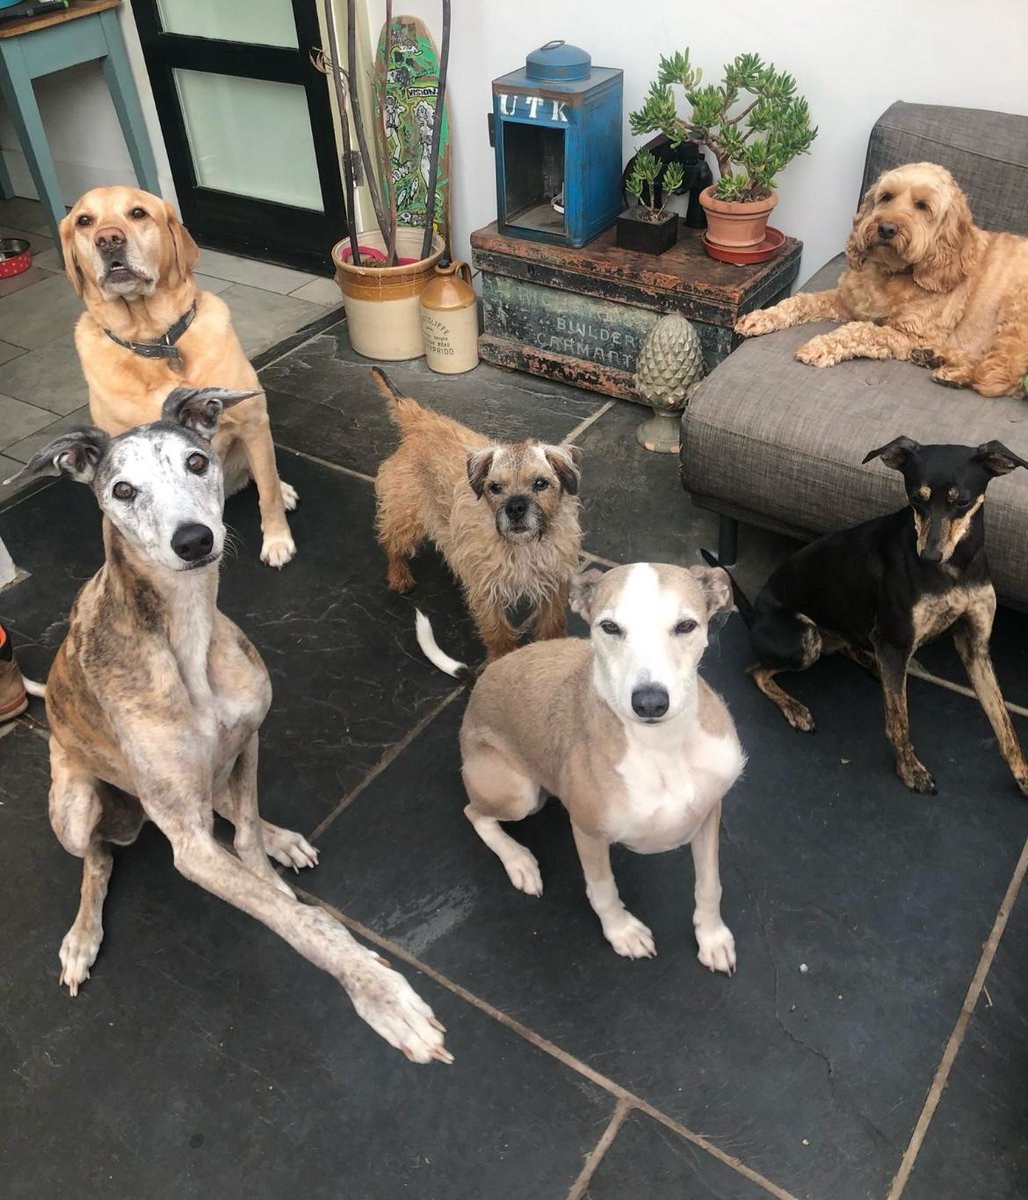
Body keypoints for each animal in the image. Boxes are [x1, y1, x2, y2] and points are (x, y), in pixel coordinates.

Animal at [710, 436, 1026, 792]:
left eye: (962, 502)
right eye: (916, 499)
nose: (928, 557)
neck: (955, 568)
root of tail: (754, 616)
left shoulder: (975, 645)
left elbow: (1003, 722)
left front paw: (1023, 777)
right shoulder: (895, 641)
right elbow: (899, 721)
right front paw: (909, 769)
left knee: (851, 649)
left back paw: (873, 666)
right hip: (805, 638)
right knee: (756, 670)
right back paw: (796, 708)